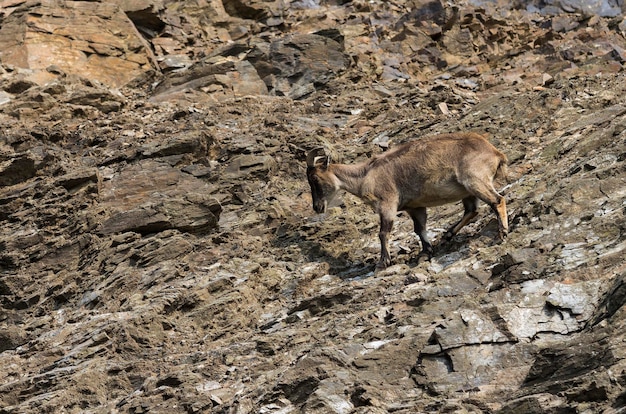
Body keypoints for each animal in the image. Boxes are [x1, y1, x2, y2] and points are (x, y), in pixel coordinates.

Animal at [306, 132, 508, 268]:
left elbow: (383, 233)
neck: (365, 175)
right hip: (467, 191)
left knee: (497, 200)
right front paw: (426, 252)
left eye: (314, 178)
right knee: (472, 210)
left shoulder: (387, 203)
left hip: (475, 180)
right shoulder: (415, 207)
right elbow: (419, 229)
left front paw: (383, 262)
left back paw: (502, 232)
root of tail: (495, 152)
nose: (317, 207)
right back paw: (448, 234)